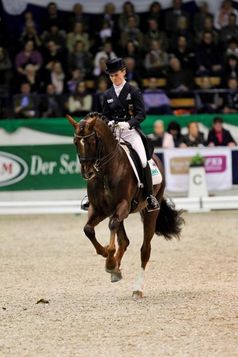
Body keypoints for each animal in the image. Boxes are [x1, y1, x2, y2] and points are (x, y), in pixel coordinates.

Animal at [67, 112, 184, 296]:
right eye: (75, 141)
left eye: (92, 141)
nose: (87, 173)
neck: (106, 171)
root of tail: (157, 159)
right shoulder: (98, 209)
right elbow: (88, 230)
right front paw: (108, 258)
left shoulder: (123, 205)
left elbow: (112, 228)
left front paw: (110, 262)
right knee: (124, 240)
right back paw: (116, 269)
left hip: (150, 211)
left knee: (145, 249)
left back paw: (137, 288)